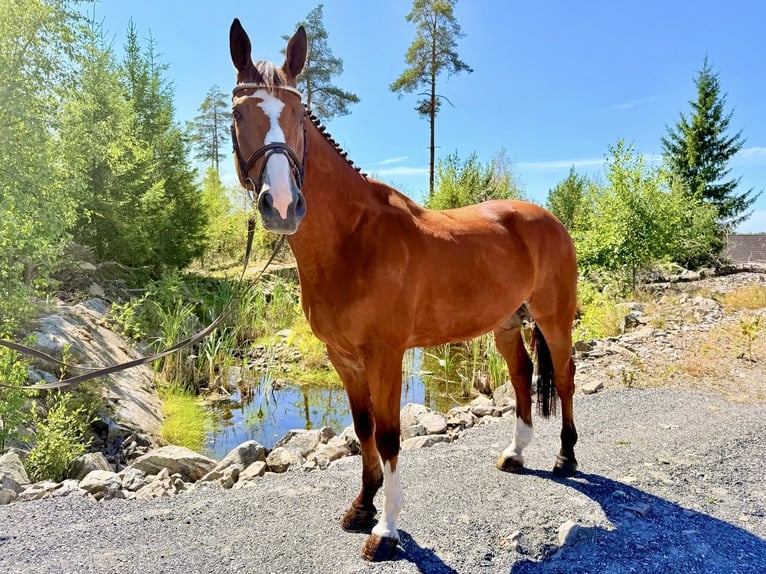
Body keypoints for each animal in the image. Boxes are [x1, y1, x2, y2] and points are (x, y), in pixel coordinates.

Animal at [228, 19, 579, 561]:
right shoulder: (344, 357)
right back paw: (516, 454)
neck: (352, 239)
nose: (282, 205)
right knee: (522, 378)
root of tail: (551, 220)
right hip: (505, 324)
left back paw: (565, 456)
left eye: (297, 116)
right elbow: (364, 429)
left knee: (562, 378)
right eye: (238, 113)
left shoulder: (386, 355)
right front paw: (361, 507)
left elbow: (391, 436)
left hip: (553, 317)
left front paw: (387, 530)